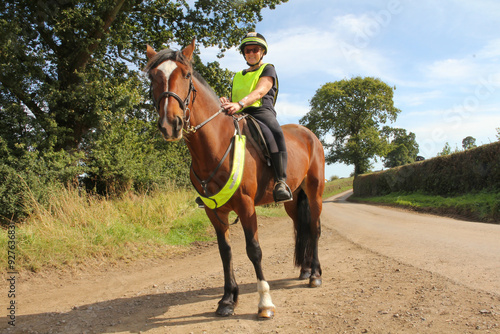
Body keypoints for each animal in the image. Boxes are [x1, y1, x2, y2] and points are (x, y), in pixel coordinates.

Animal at [145, 39, 324, 318]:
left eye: (186, 75)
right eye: (153, 77)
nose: (170, 124)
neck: (217, 145)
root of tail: (309, 134)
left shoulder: (246, 205)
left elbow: (254, 250)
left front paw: (264, 303)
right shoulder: (214, 211)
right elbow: (225, 252)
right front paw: (228, 299)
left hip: (315, 193)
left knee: (314, 228)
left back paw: (315, 274)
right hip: (293, 201)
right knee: (301, 227)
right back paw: (305, 270)